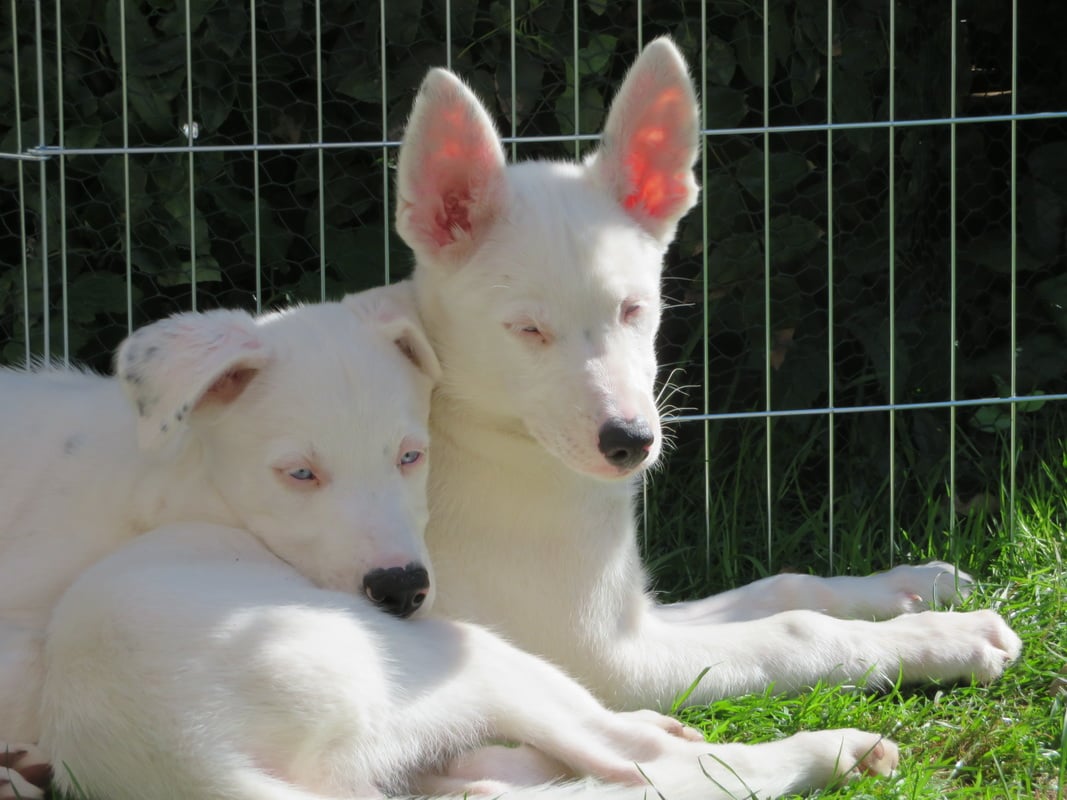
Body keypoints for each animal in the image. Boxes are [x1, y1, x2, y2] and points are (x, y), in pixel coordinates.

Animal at [395, 37, 1022, 711]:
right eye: (528, 330)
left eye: (634, 308)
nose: (630, 442)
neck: (491, 441)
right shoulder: (612, 662)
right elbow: (799, 631)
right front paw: (946, 637)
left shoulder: (639, 616)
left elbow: (785, 587)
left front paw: (910, 586)